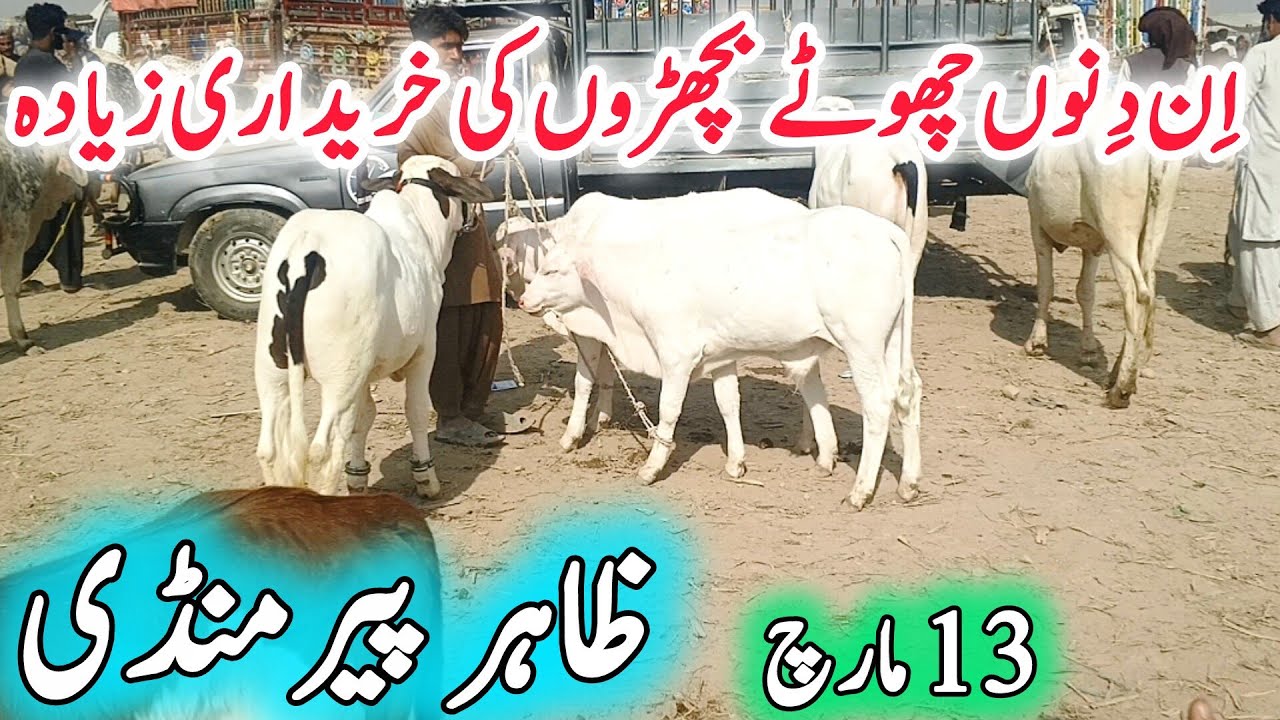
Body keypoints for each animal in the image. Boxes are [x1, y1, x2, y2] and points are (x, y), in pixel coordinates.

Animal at [254, 154, 496, 498]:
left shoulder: (364, 370)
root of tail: (307, 247)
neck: (420, 225)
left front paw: (357, 477)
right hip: (339, 378)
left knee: (269, 448)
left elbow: (361, 418)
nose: (475, 218)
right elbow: (416, 410)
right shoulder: (425, 350)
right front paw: (425, 478)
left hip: (273, 369)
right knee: (321, 450)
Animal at [497, 189, 856, 480]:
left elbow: (584, 381)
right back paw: (808, 441)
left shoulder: (587, 328)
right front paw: (602, 417)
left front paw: (573, 434)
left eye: (551, 271)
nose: (523, 301)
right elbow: (608, 374)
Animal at [517, 202, 922, 511]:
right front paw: (736, 463)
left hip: (861, 344)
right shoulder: (721, 355)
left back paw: (861, 490)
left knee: (878, 405)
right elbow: (728, 403)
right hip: (891, 343)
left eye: (552, 270)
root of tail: (883, 229)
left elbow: (668, 411)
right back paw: (908, 483)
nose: (522, 299)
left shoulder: (676, 354)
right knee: (907, 394)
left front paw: (651, 467)